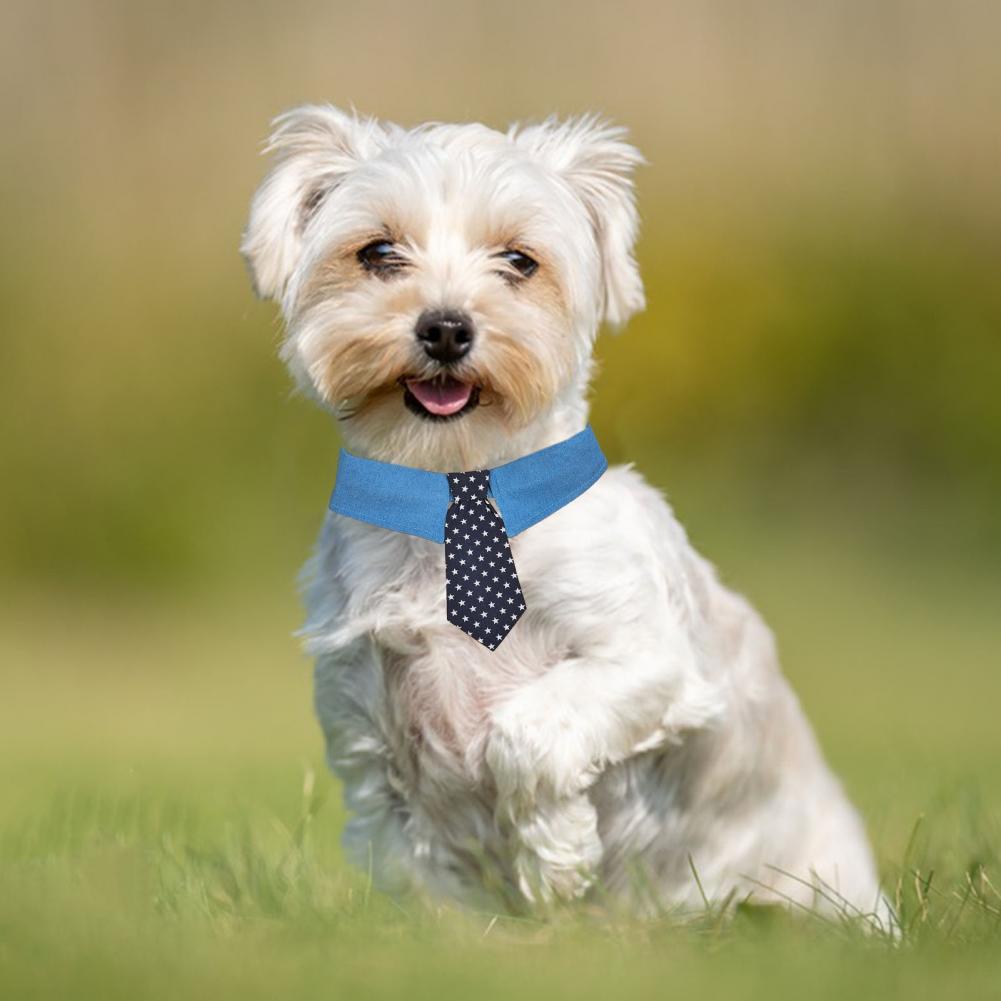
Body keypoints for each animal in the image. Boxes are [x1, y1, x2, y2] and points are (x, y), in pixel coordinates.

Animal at [240, 103, 884, 920]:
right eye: (378, 251)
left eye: (519, 261)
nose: (445, 327)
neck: (455, 489)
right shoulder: (371, 748)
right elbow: (427, 877)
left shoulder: (648, 660)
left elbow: (524, 733)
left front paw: (555, 858)